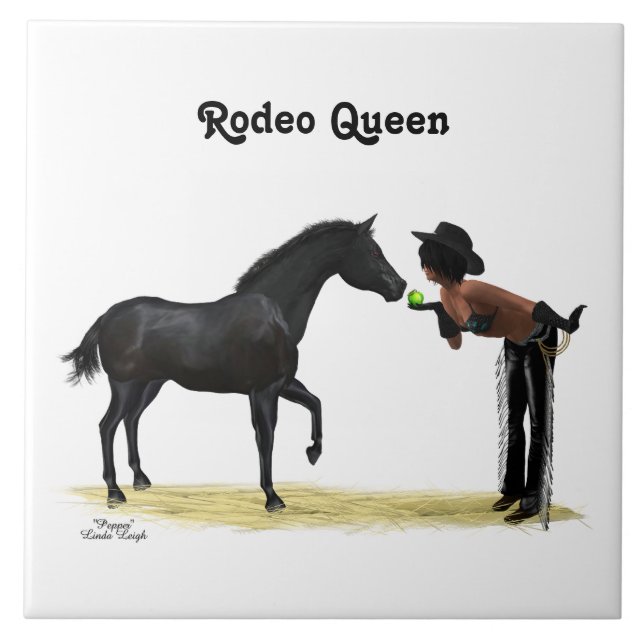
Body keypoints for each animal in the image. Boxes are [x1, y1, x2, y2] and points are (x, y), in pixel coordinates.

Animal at [62, 214, 406, 511]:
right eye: (374, 251)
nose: (400, 287)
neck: (275, 312)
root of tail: (106, 317)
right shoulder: (264, 391)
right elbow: (266, 438)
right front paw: (273, 499)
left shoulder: (282, 385)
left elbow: (316, 403)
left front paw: (313, 453)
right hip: (124, 385)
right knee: (108, 425)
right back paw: (114, 492)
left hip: (150, 385)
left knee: (131, 421)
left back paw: (141, 480)